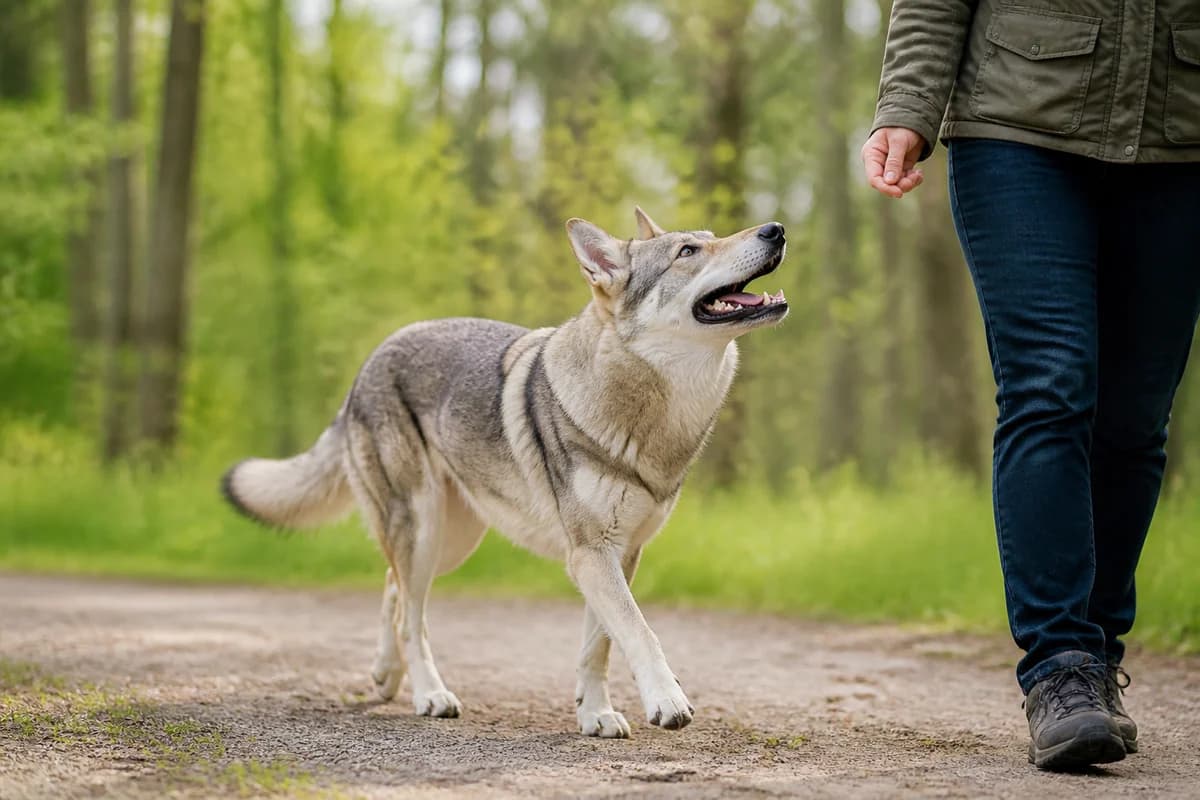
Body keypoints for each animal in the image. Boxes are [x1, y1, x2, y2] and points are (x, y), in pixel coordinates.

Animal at [221, 208, 788, 738]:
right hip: (424, 531)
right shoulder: (591, 554)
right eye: (688, 251)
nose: (777, 229)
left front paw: (595, 715)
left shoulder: (618, 555)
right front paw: (666, 701)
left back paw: (385, 676)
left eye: (713, 236)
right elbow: (640, 632)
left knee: (392, 588)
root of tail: (367, 365)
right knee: (411, 616)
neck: (657, 414)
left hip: (450, 543)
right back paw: (429, 694)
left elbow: (599, 646)